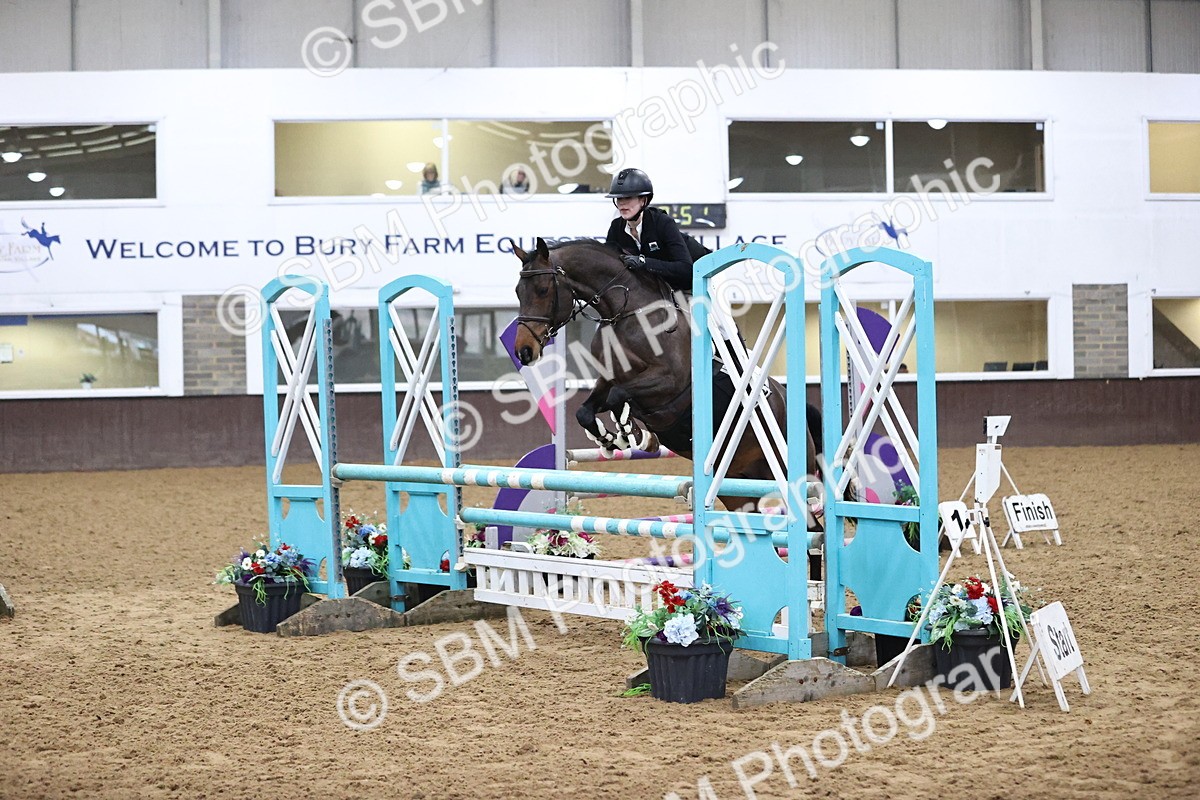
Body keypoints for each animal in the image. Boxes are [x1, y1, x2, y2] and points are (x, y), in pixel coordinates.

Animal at [511, 236, 817, 515]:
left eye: (542, 290)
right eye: (517, 291)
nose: (524, 352)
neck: (626, 313)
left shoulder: (669, 384)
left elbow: (619, 396)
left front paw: (631, 432)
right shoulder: (609, 379)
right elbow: (586, 410)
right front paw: (612, 439)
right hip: (735, 485)